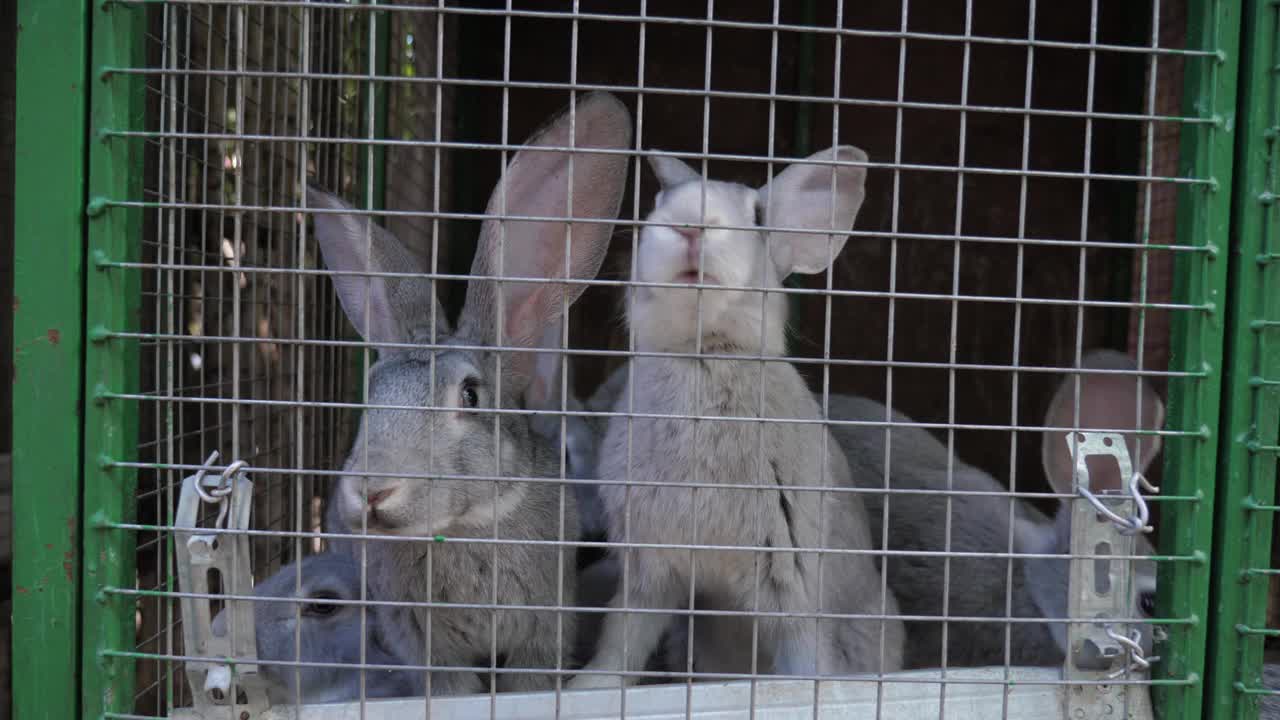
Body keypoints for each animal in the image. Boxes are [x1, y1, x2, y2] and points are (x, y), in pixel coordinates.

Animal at [309, 92, 629, 691]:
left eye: (471, 396)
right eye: (370, 396)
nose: (372, 492)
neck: (467, 527)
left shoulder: (541, 629)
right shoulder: (425, 642)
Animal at [565, 142, 906, 686]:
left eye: (759, 216)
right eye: (659, 202)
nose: (690, 223)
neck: (703, 352)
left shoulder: (794, 582)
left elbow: (805, 658)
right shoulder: (648, 571)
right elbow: (622, 640)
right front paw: (589, 686)